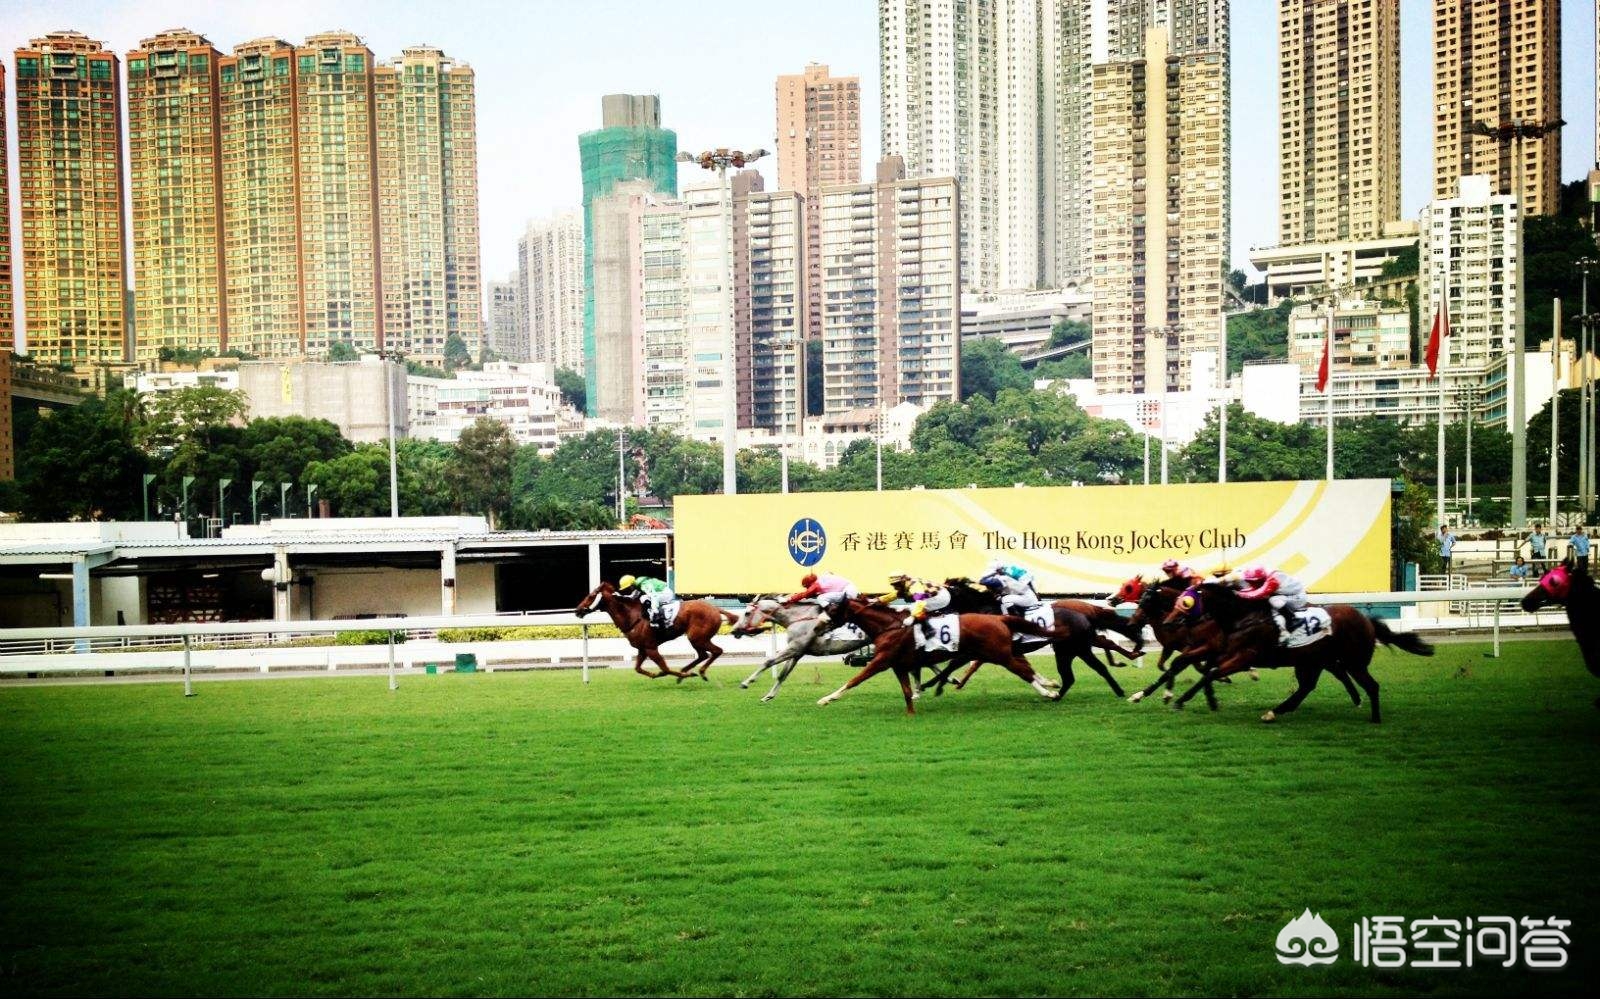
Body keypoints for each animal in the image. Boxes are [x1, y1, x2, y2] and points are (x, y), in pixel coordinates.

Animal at [576, 582, 736, 682]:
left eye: (591, 596)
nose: (577, 610)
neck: (633, 616)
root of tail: (715, 609)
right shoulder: (642, 649)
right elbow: (638, 668)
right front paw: (655, 674)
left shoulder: (651, 648)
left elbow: (665, 668)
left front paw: (686, 675)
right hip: (697, 638)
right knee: (704, 654)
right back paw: (685, 671)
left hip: (698, 637)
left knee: (716, 651)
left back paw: (698, 672)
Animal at [729, 601, 870, 701]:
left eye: (747, 613)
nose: (734, 630)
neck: (798, 619)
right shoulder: (797, 653)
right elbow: (782, 675)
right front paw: (769, 696)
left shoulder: (794, 648)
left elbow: (768, 662)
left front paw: (746, 682)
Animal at [812, 595, 1062, 714]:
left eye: (832, 609)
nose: (817, 624)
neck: (889, 626)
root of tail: (999, 617)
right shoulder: (899, 665)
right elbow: (907, 690)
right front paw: (911, 710)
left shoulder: (881, 661)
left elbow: (854, 680)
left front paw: (826, 699)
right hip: (999, 651)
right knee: (1025, 666)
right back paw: (1051, 684)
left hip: (998, 654)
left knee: (1022, 671)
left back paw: (1048, 692)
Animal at [1158, 582, 1433, 720]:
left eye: (1186, 602)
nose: (1168, 622)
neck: (1243, 617)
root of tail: (1367, 621)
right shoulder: (1228, 653)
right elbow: (1208, 671)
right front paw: (1192, 699)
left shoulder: (1244, 656)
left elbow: (1211, 672)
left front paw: (1186, 700)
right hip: (1312, 661)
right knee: (1306, 687)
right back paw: (1276, 711)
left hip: (1352, 661)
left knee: (1371, 686)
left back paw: (1374, 718)